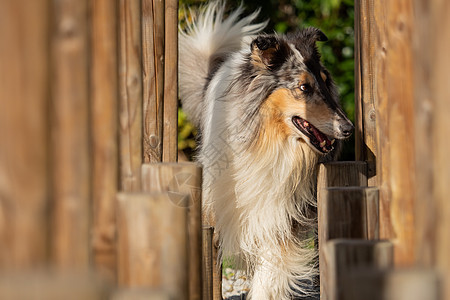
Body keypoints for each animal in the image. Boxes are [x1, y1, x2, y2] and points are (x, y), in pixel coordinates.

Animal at [178, 1, 354, 298]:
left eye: (325, 81)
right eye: (304, 87)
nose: (348, 128)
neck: (270, 141)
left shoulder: (282, 214)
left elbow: (270, 271)